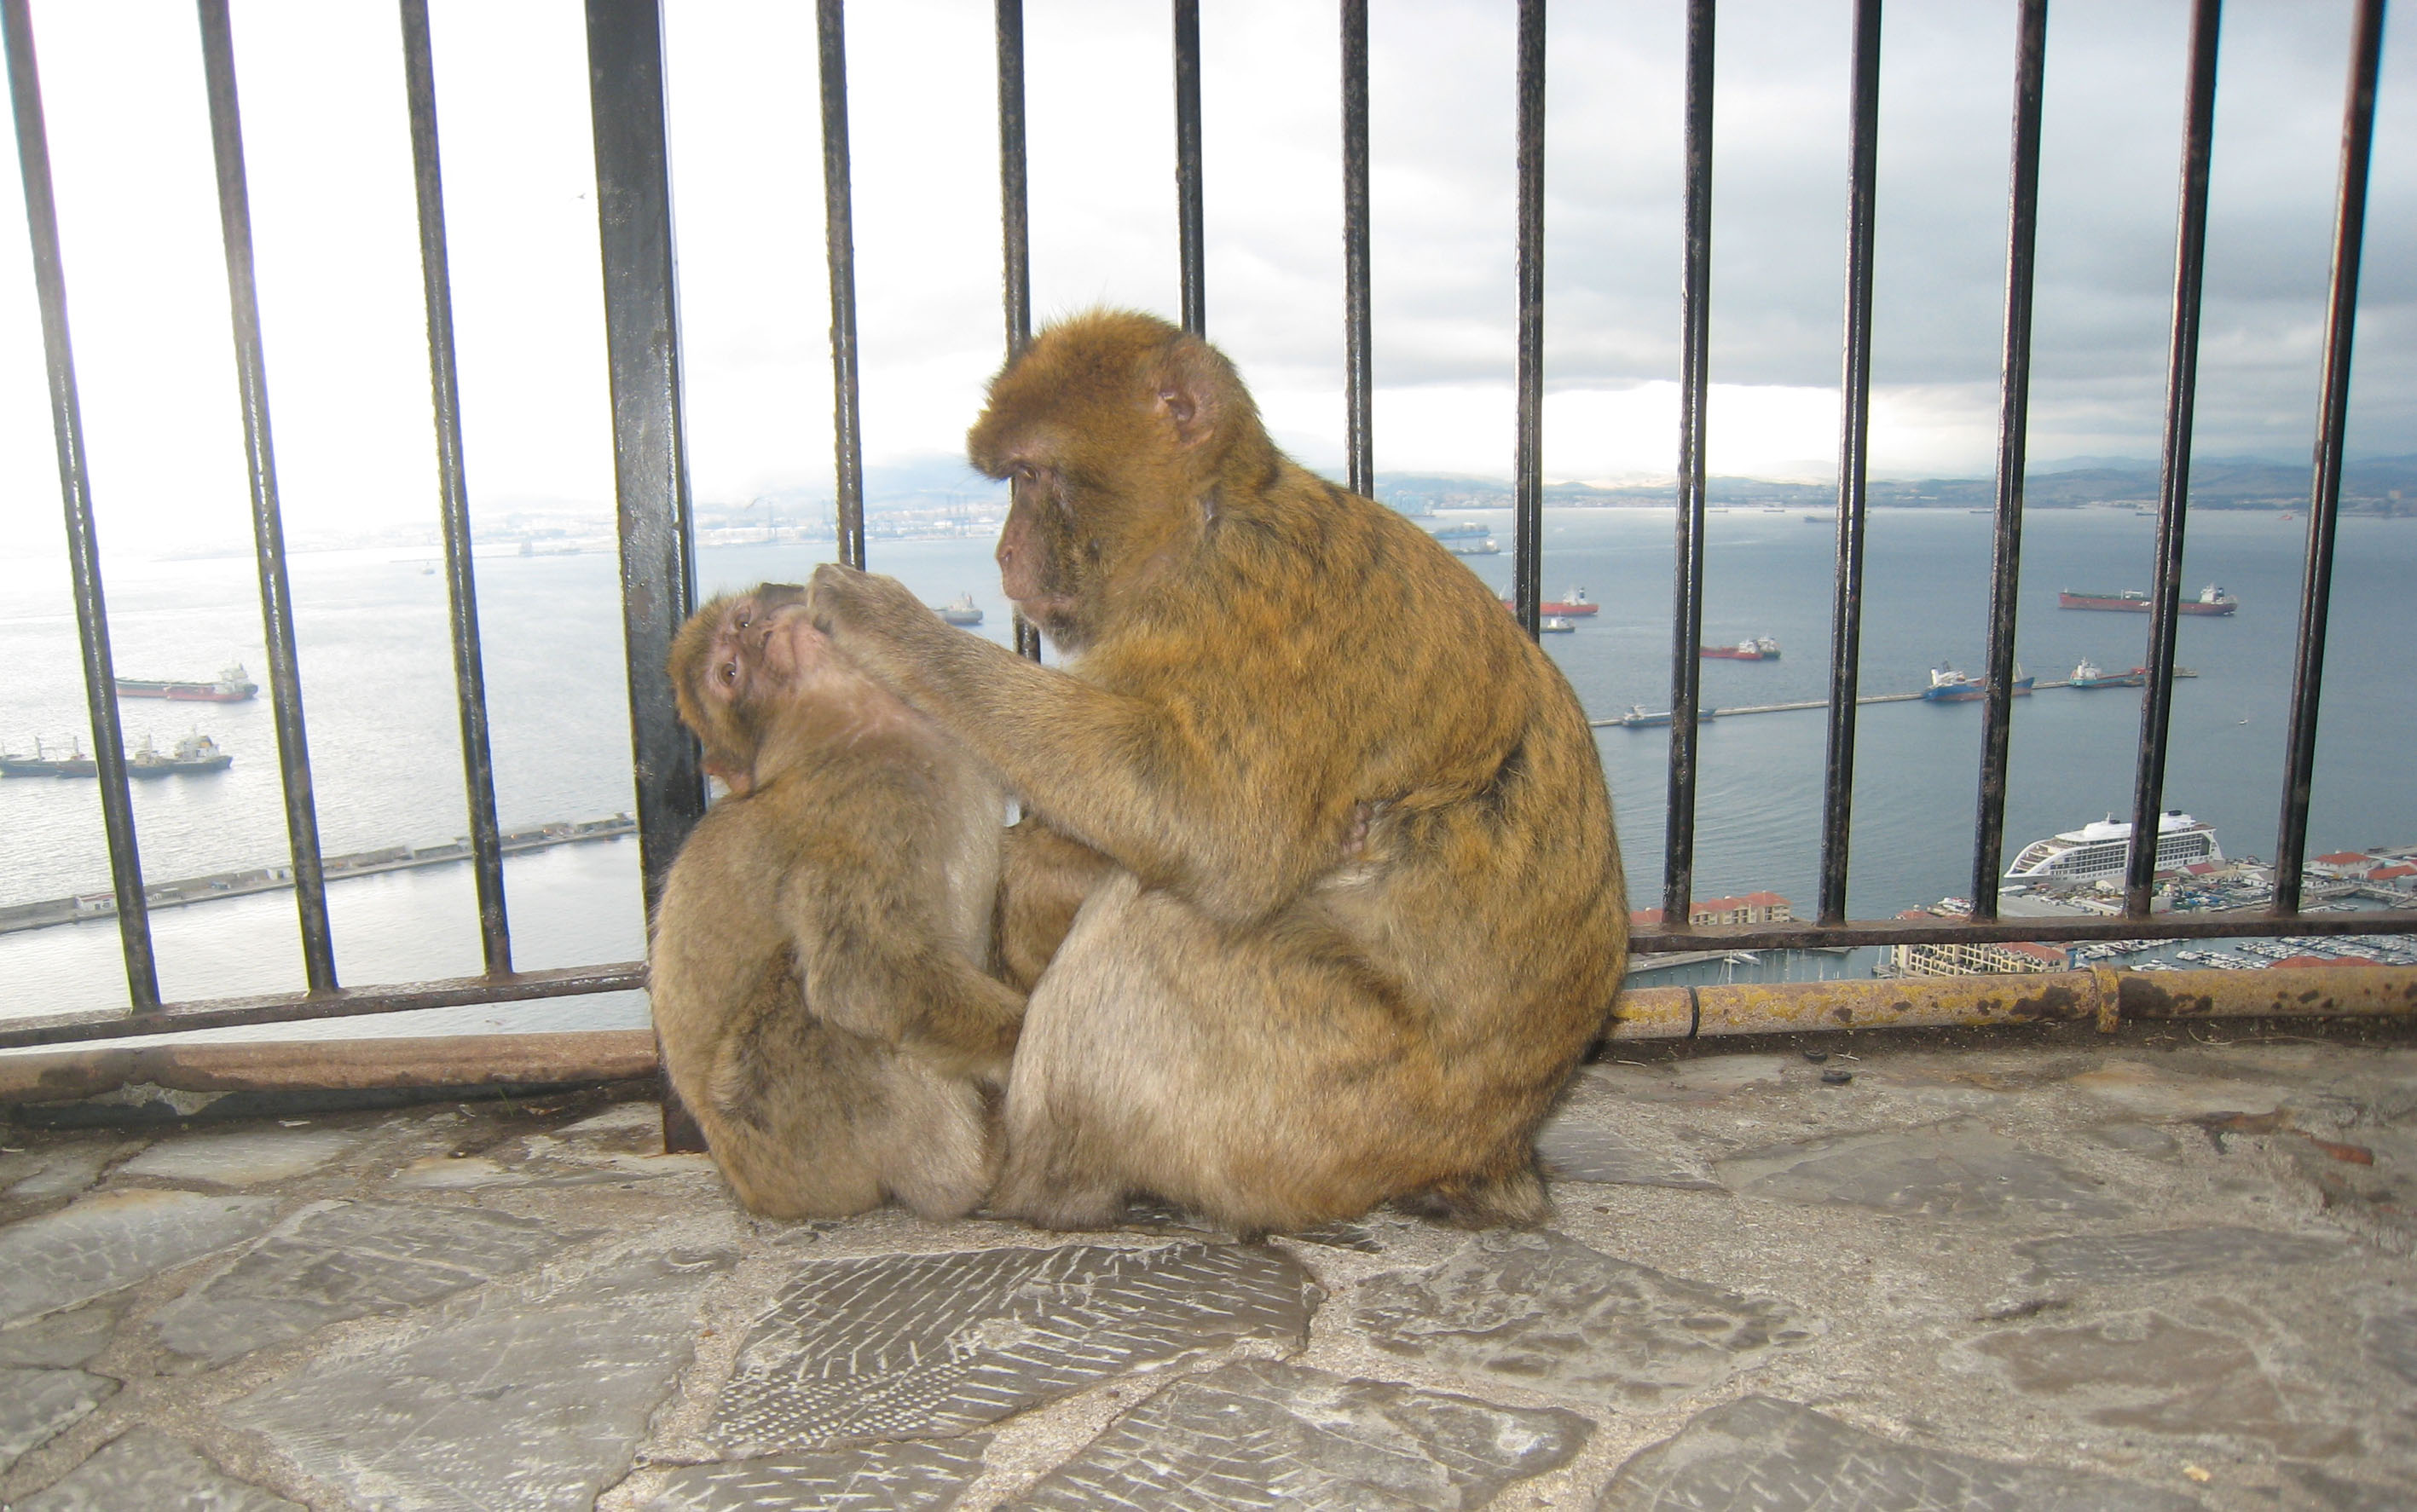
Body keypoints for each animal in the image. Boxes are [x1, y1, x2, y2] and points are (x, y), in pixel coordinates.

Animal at [647, 581, 1025, 1217]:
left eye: (741, 624)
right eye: (730, 673)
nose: (761, 635)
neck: (862, 728)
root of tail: (749, 1189)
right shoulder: (869, 808)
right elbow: (865, 979)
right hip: (795, 1138)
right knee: (813, 997)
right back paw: (964, 1178)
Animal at [807, 309, 1624, 1236]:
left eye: (1029, 476)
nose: (1004, 552)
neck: (1206, 523)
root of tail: (1495, 1148)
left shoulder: (1249, 604)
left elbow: (1221, 835)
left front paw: (892, 629)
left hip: (1336, 1103)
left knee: (1157, 924)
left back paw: (1040, 1182)